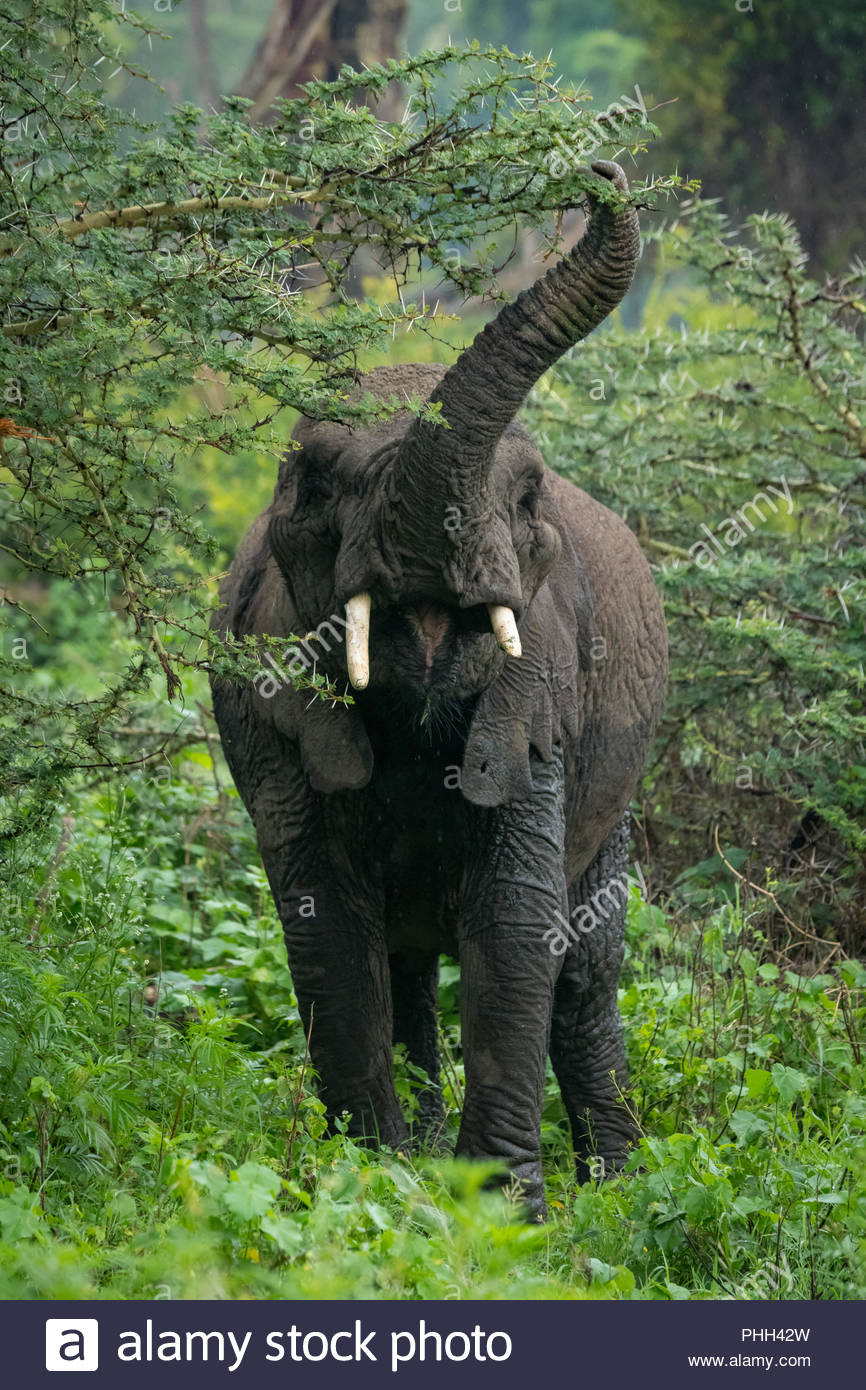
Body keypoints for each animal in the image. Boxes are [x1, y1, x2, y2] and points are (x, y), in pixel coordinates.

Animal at [210, 160, 667, 1219]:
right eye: (312, 482)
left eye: (529, 496)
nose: (599, 169)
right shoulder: (262, 703)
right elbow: (328, 928)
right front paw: (366, 1188)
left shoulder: (543, 691)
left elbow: (517, 923)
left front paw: (500, 1216)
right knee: (406, 964)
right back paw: (416, 1155)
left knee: (586, 971)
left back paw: (620, 1192)